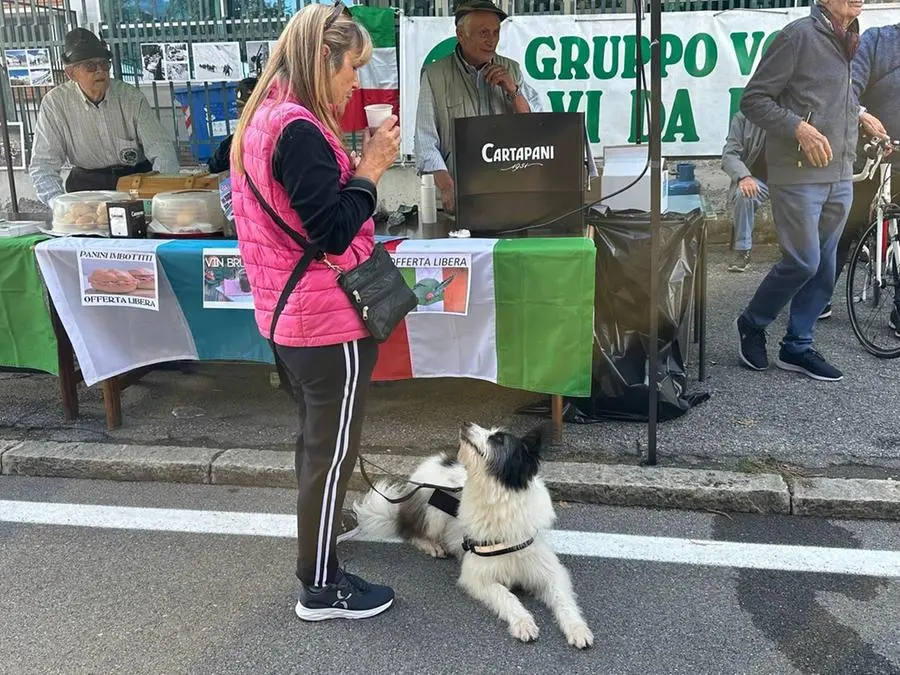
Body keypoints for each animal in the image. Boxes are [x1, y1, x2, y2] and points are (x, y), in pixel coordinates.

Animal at [354, 422, 596, 648]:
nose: (465, 424)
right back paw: (432, 545)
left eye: (498, 438)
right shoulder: (478, 577)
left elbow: (564, 601)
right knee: (410, 530)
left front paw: (577, 629)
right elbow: (507, 597)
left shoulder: (549, 571)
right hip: (433, 512)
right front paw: (523, 623)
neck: (497, 498)